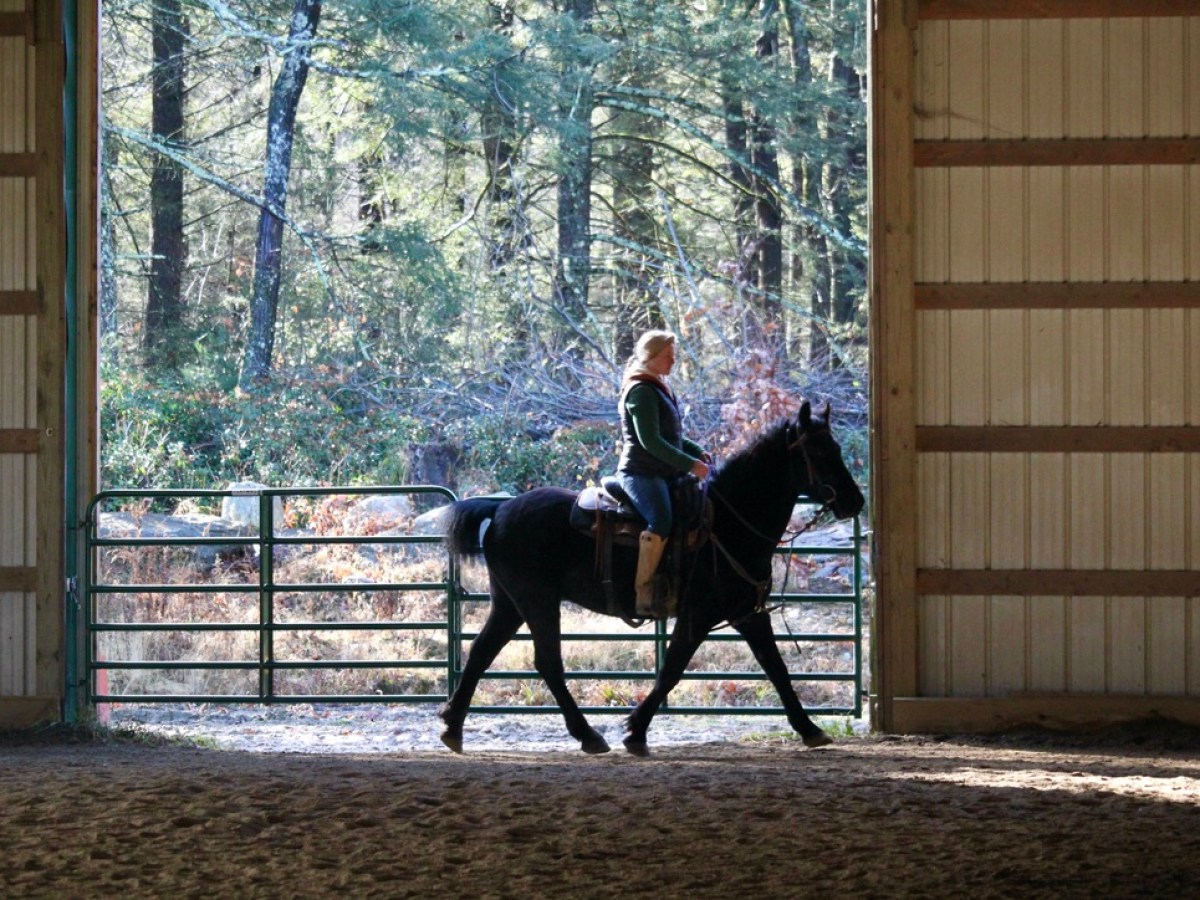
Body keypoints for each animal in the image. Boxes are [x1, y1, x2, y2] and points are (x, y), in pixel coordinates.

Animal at [440, 400, 866, 755]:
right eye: (821, 452)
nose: (856, 501)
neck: (727, 525)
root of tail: (500, 509)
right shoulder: (698, 617)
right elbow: (672, 670)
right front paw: (635, 731)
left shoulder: (749, 613)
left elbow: (776, 668)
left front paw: (810, 729)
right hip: (537, 601)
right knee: (547, 662)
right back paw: (588, 736)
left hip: (510, 604)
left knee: (480, 652)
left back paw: (453, 727)